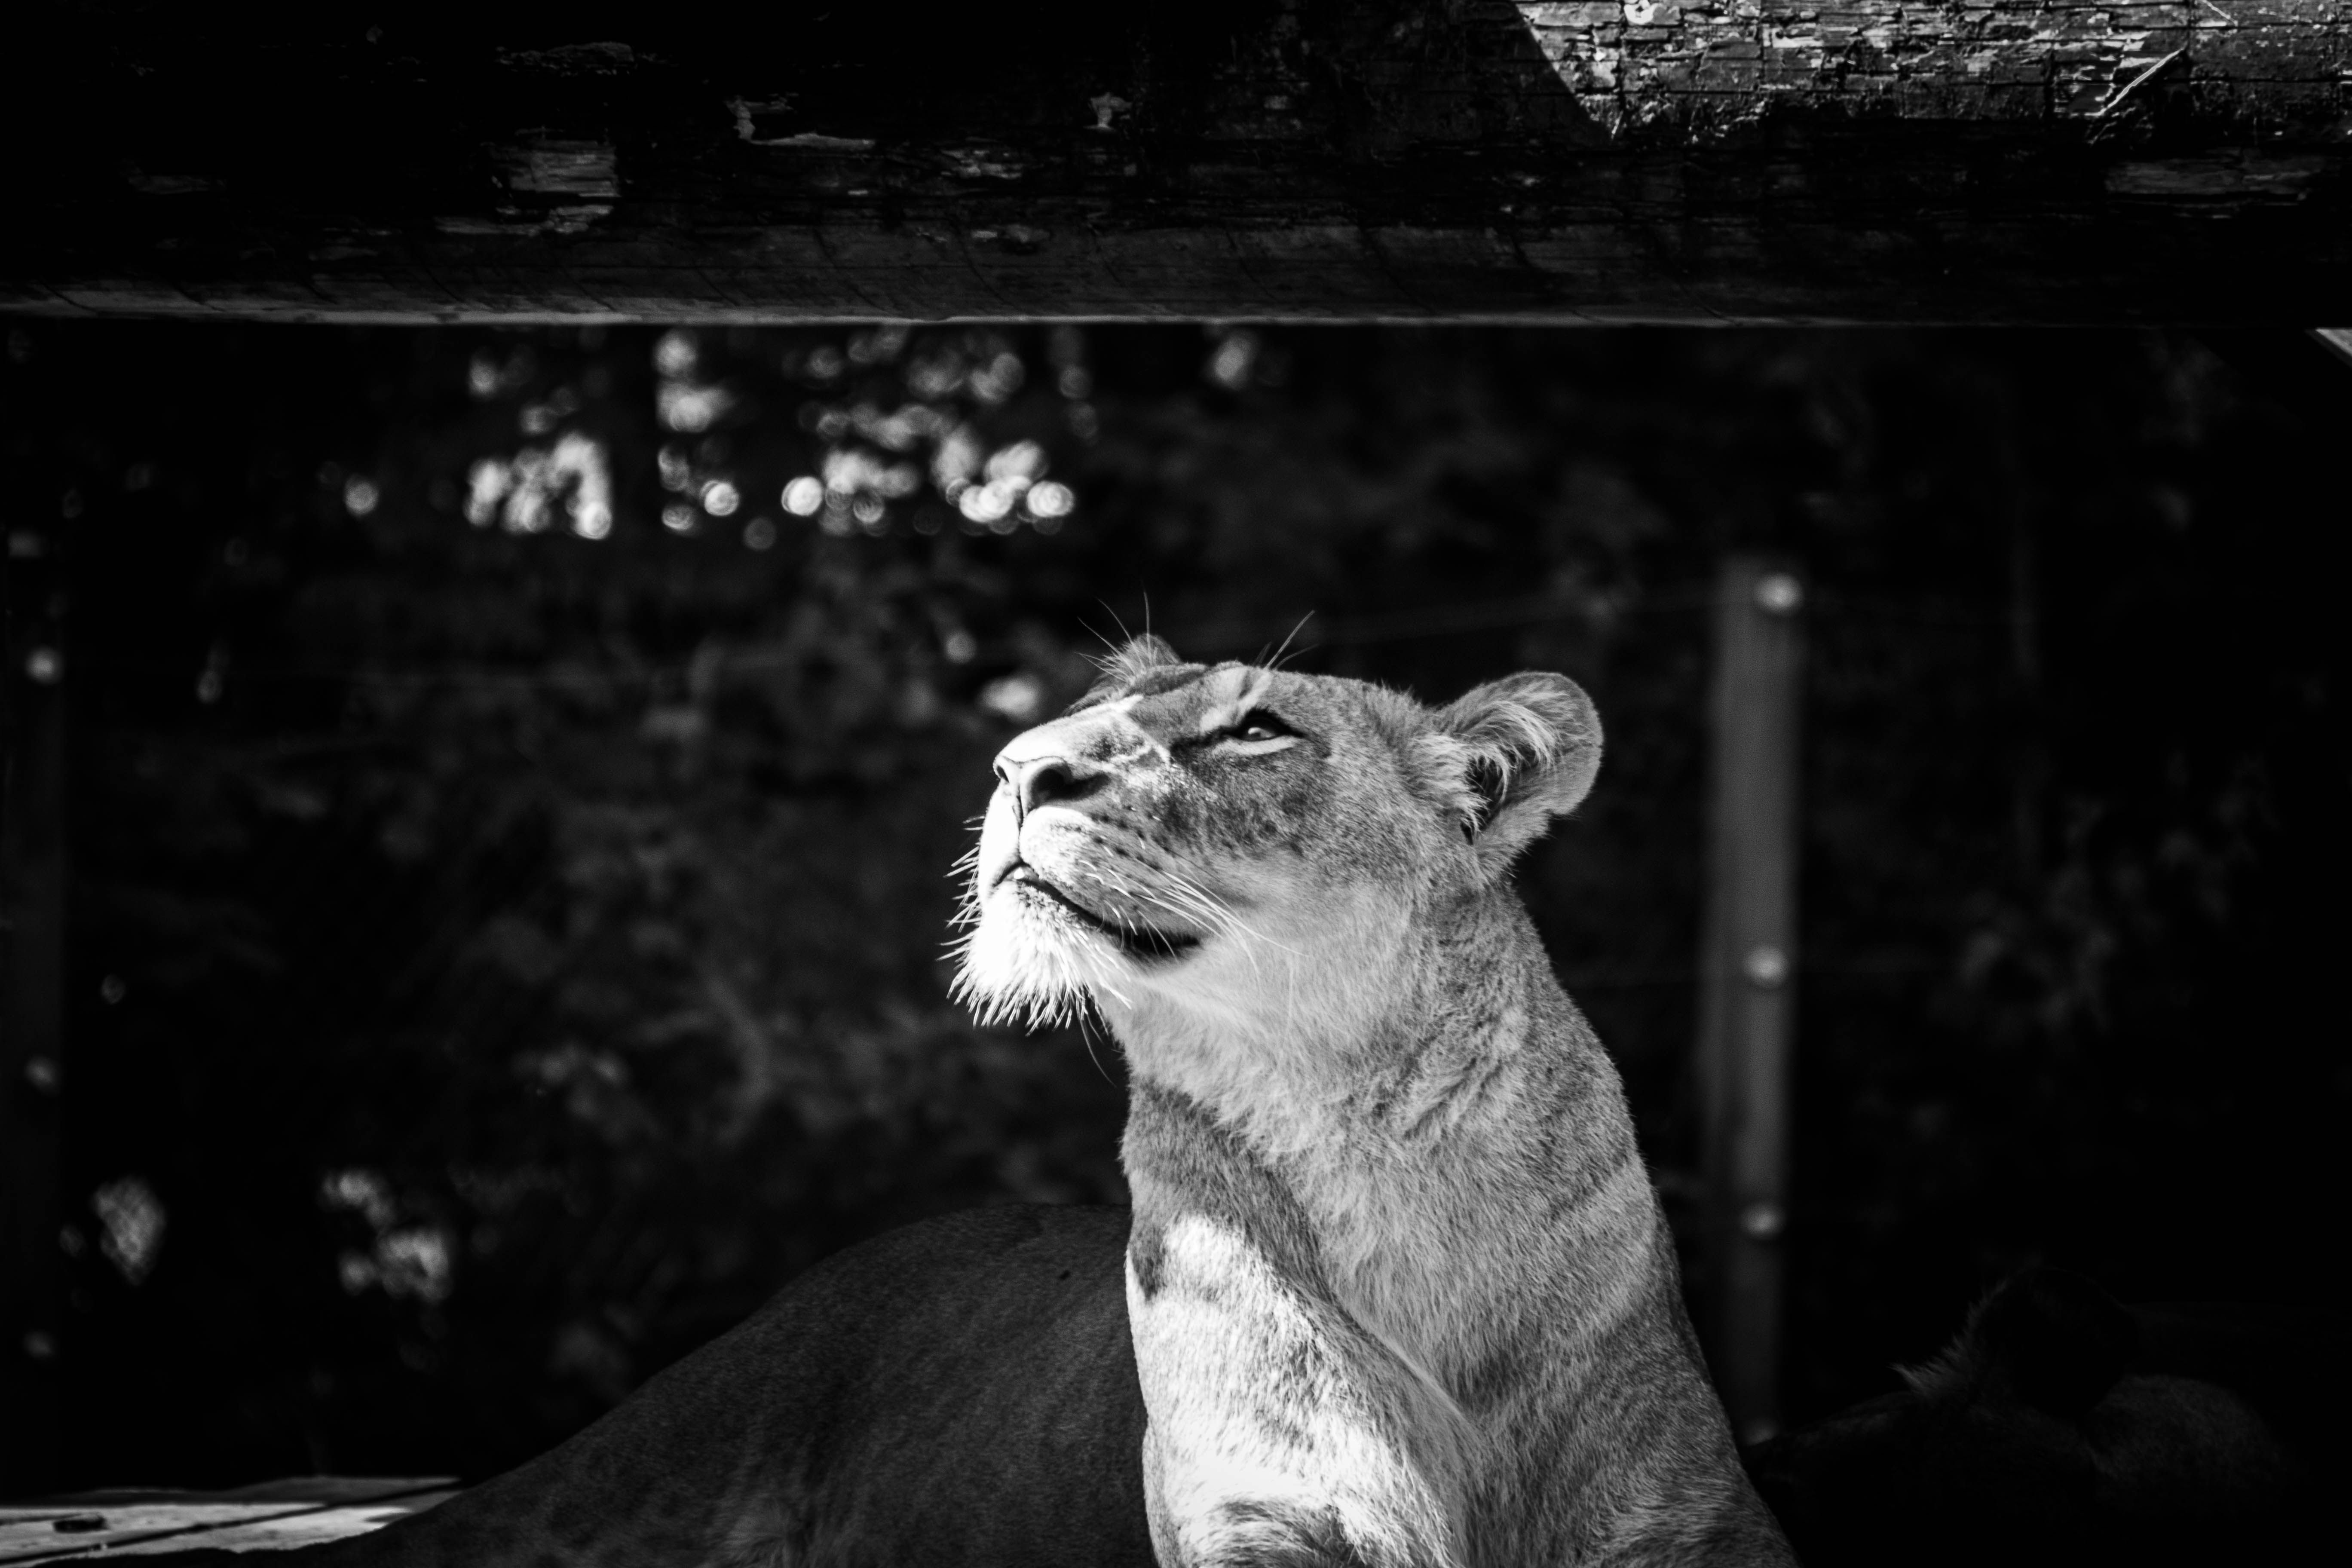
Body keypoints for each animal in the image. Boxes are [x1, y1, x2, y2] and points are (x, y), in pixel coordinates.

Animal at [131, 639, 1788, 1567]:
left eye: (1257, 728)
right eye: (1082, 716)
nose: (1016, 766)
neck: (1365, 1141)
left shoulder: (1695, 1517)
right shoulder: (1264, 1508)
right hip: (630, 1473)